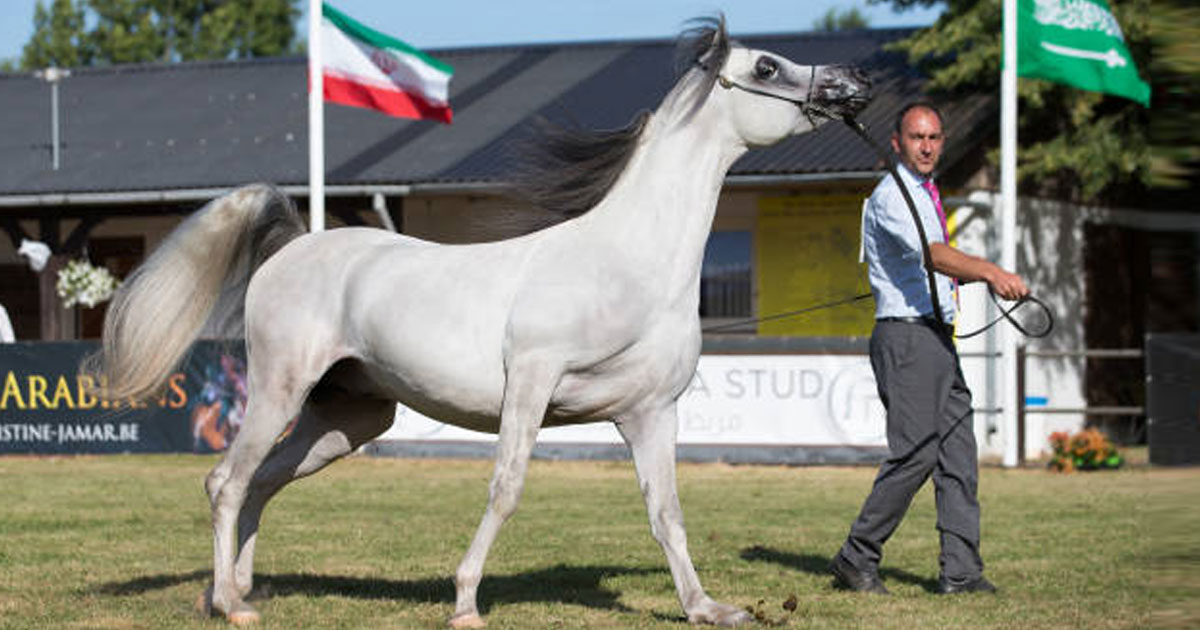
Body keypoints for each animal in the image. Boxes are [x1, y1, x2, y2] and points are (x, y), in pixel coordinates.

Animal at [90, 17, 869, 628]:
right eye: (765, 66)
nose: (853, 81)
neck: (628, 263)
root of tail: (291, 244)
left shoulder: (651, 413)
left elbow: (666, 514)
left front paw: (707, 608)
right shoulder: (531, 381)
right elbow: (507, 488)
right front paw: (465, 602)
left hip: (347, 419)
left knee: (260, 483)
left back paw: (235, 591)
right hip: (280, 392)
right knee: (226, 482)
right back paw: (231, 603)